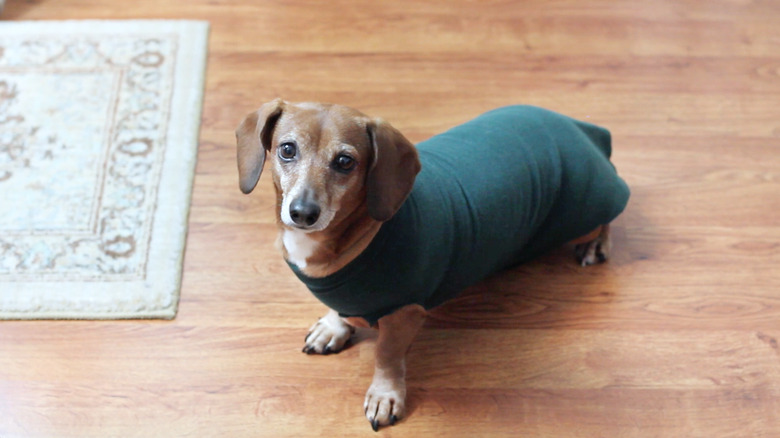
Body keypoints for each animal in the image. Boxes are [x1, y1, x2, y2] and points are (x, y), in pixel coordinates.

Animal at [238, 100, 628, 432]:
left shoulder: (404, 312)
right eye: (288, 150)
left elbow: (386, 355)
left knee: (610, 216)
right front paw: (334, 325)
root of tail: (580, 128)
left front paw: (385, 394)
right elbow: (339, 310)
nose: (302, 213)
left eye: (345, 162)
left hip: (584, 214)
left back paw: (597, 243)